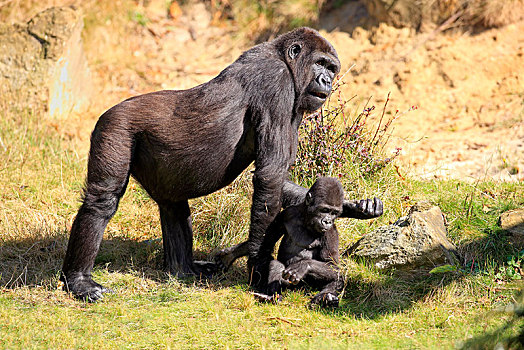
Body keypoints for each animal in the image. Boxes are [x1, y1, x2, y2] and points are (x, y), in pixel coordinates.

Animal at [254, 176, 344, 308]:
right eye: (325, 210)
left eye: (334, 213)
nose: (328, 221)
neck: (307, 219)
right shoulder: (287, 213)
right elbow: (268, 242)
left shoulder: (330, 232)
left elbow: (333, 265)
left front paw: (303, 266)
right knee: (276, 265)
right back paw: (271, 296)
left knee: (338, 278)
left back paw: (326, 299)